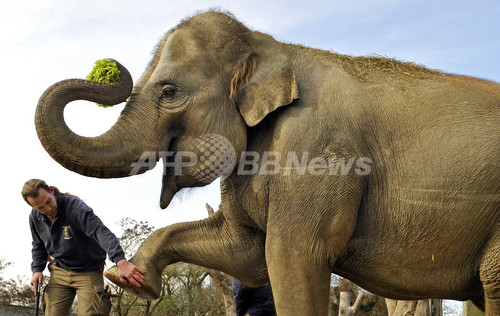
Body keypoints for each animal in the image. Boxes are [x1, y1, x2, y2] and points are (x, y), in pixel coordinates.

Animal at [36, 10, 500, 316]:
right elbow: (246, 254)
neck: (272, 46)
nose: (110, 70)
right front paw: (132, 279)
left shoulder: (320, 153)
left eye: (168, 91)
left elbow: (290, 256)